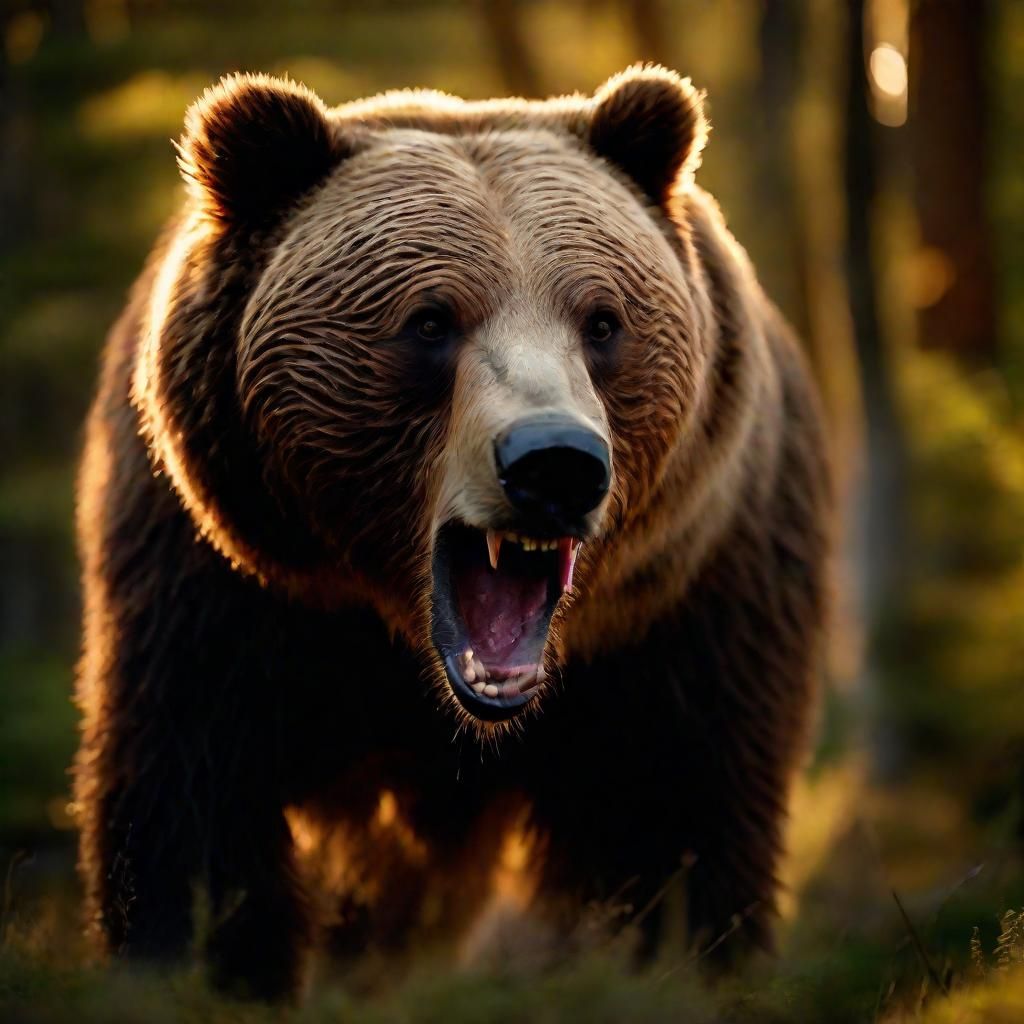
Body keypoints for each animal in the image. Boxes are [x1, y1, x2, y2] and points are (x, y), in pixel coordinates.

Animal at [74, 65, 832, 1000]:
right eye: (430, 320)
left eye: (603, 320)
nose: (555, 462)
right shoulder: (219, 590)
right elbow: (192, 805)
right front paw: (204, 967)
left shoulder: (687, 601)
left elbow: (670, 825)